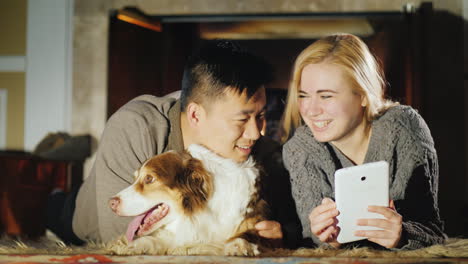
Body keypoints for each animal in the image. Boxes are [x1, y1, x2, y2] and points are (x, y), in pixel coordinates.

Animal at [108, 143, 268, 255]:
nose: (111, 203)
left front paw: (239, 244)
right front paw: (132, 245)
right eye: (135, 178)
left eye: (149, 178)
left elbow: (250, 233)